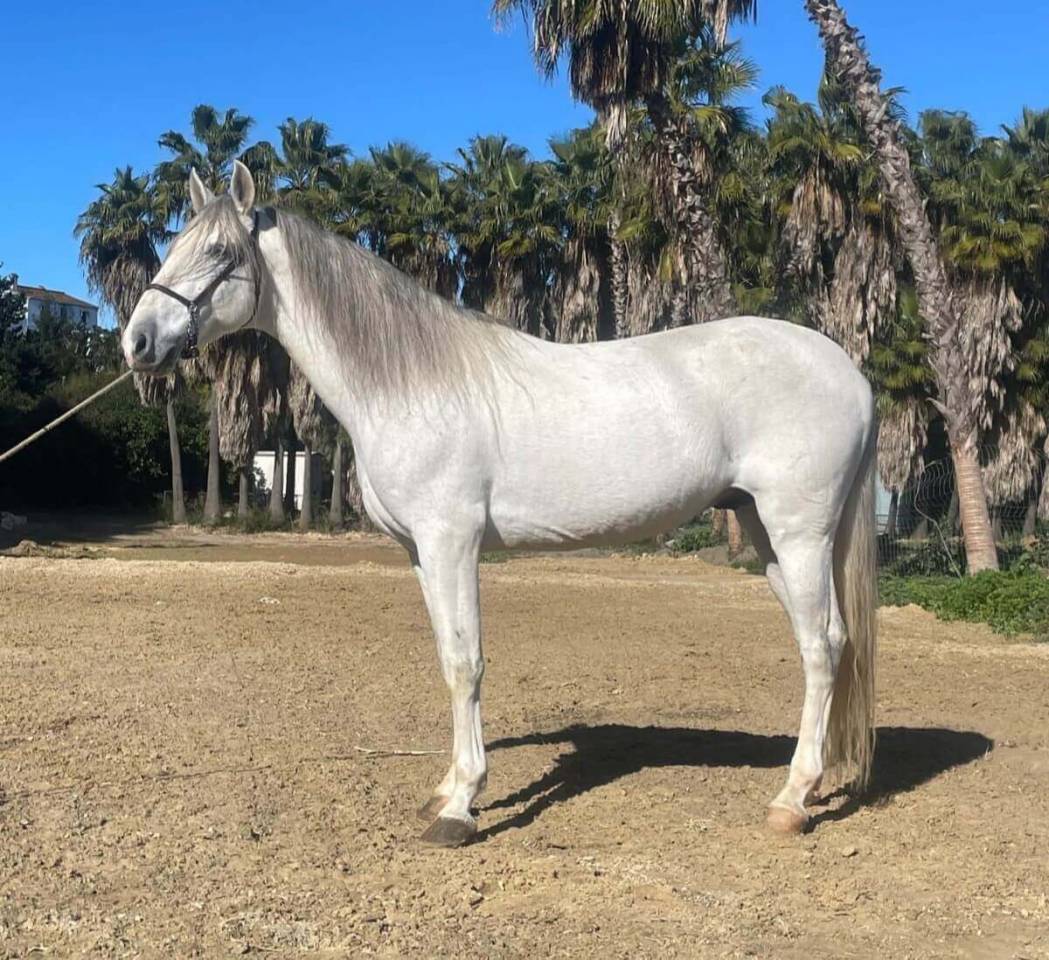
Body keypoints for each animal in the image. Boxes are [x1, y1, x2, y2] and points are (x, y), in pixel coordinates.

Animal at [123, 161, 878, 847]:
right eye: (173, 246)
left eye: (221, 254)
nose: (137, 342)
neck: (410, 385)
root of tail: (847, 370)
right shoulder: (421, 554)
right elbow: (445, 657)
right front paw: (447, 789)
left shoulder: (451, 543)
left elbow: (466, 663)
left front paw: (461, 808)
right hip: (765, 533)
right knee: (824, 642)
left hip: (799, 533)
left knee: (821, 645)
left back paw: (791, 800)